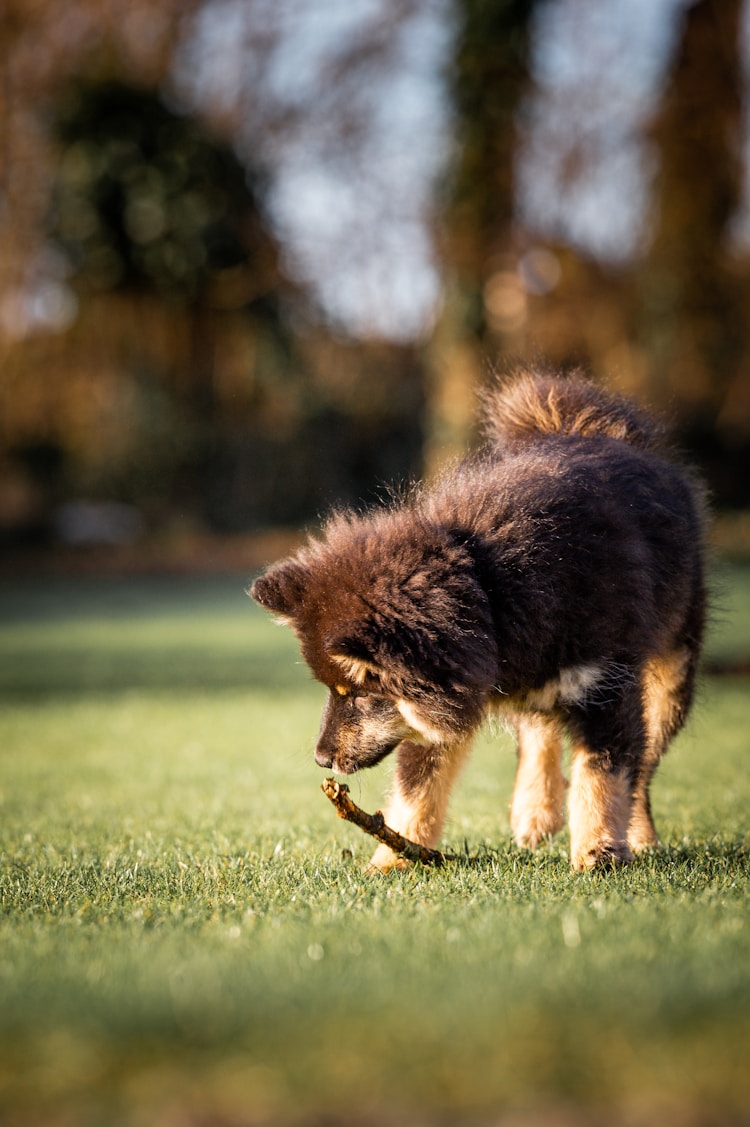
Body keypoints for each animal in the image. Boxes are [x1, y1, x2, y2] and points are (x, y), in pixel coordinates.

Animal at [251, 371, 708, 870]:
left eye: (359, 693)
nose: (320, 759)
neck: (490, 587)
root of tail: (577, 426)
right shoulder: (443, 700)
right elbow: (416, 788)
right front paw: (393, 858)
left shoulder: (606, 687)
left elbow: (603, 774)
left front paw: (598, 851)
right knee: (539, 730)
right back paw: (534, 809)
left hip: (669, 674)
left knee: (641, 764)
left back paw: (637, 833)